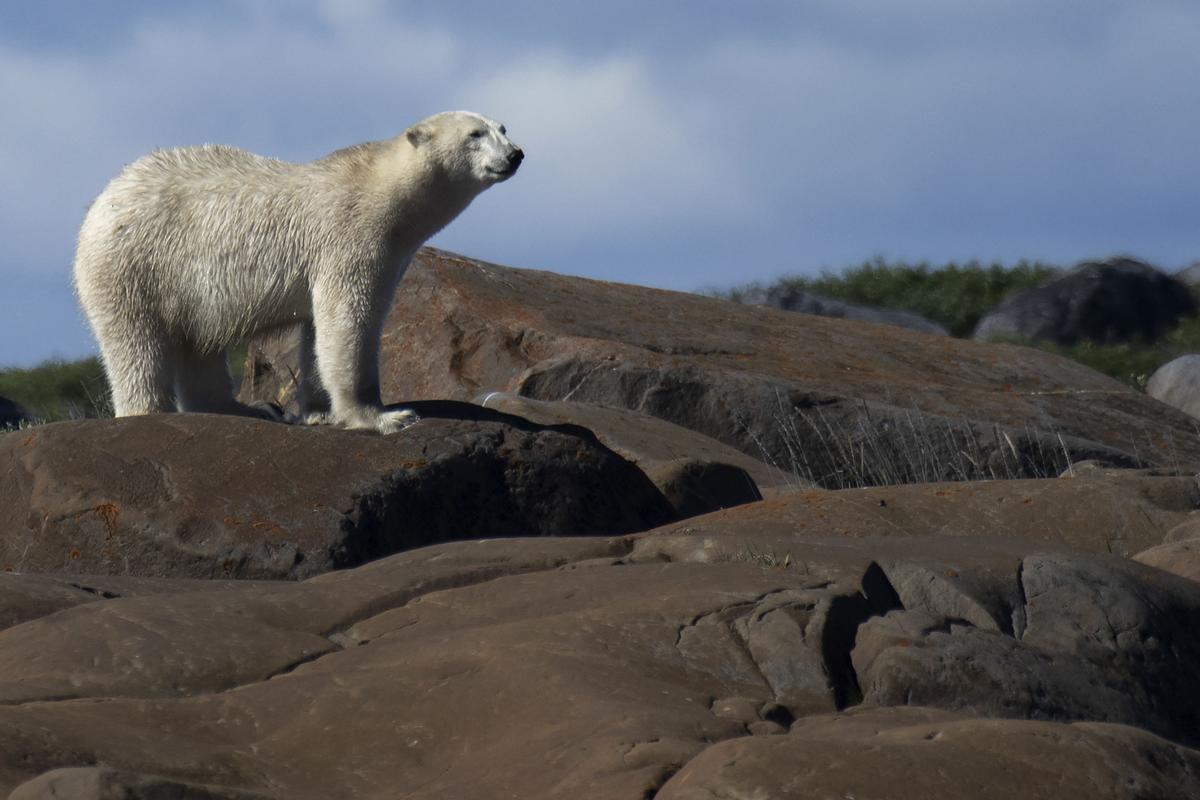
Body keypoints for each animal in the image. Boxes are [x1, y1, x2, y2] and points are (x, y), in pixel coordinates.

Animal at [75, 110, 520, 434]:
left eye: (502, 127)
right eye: (475, 134)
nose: (515, 154)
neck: (380, 190)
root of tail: (101, 202)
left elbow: (316, 333)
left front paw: (319, 412)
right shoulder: (350, 239)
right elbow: (349, 323)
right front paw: (384, 416)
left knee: (196, 345)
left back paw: (250, 409)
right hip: (134, 265)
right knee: (137, 345)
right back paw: (149, 412)